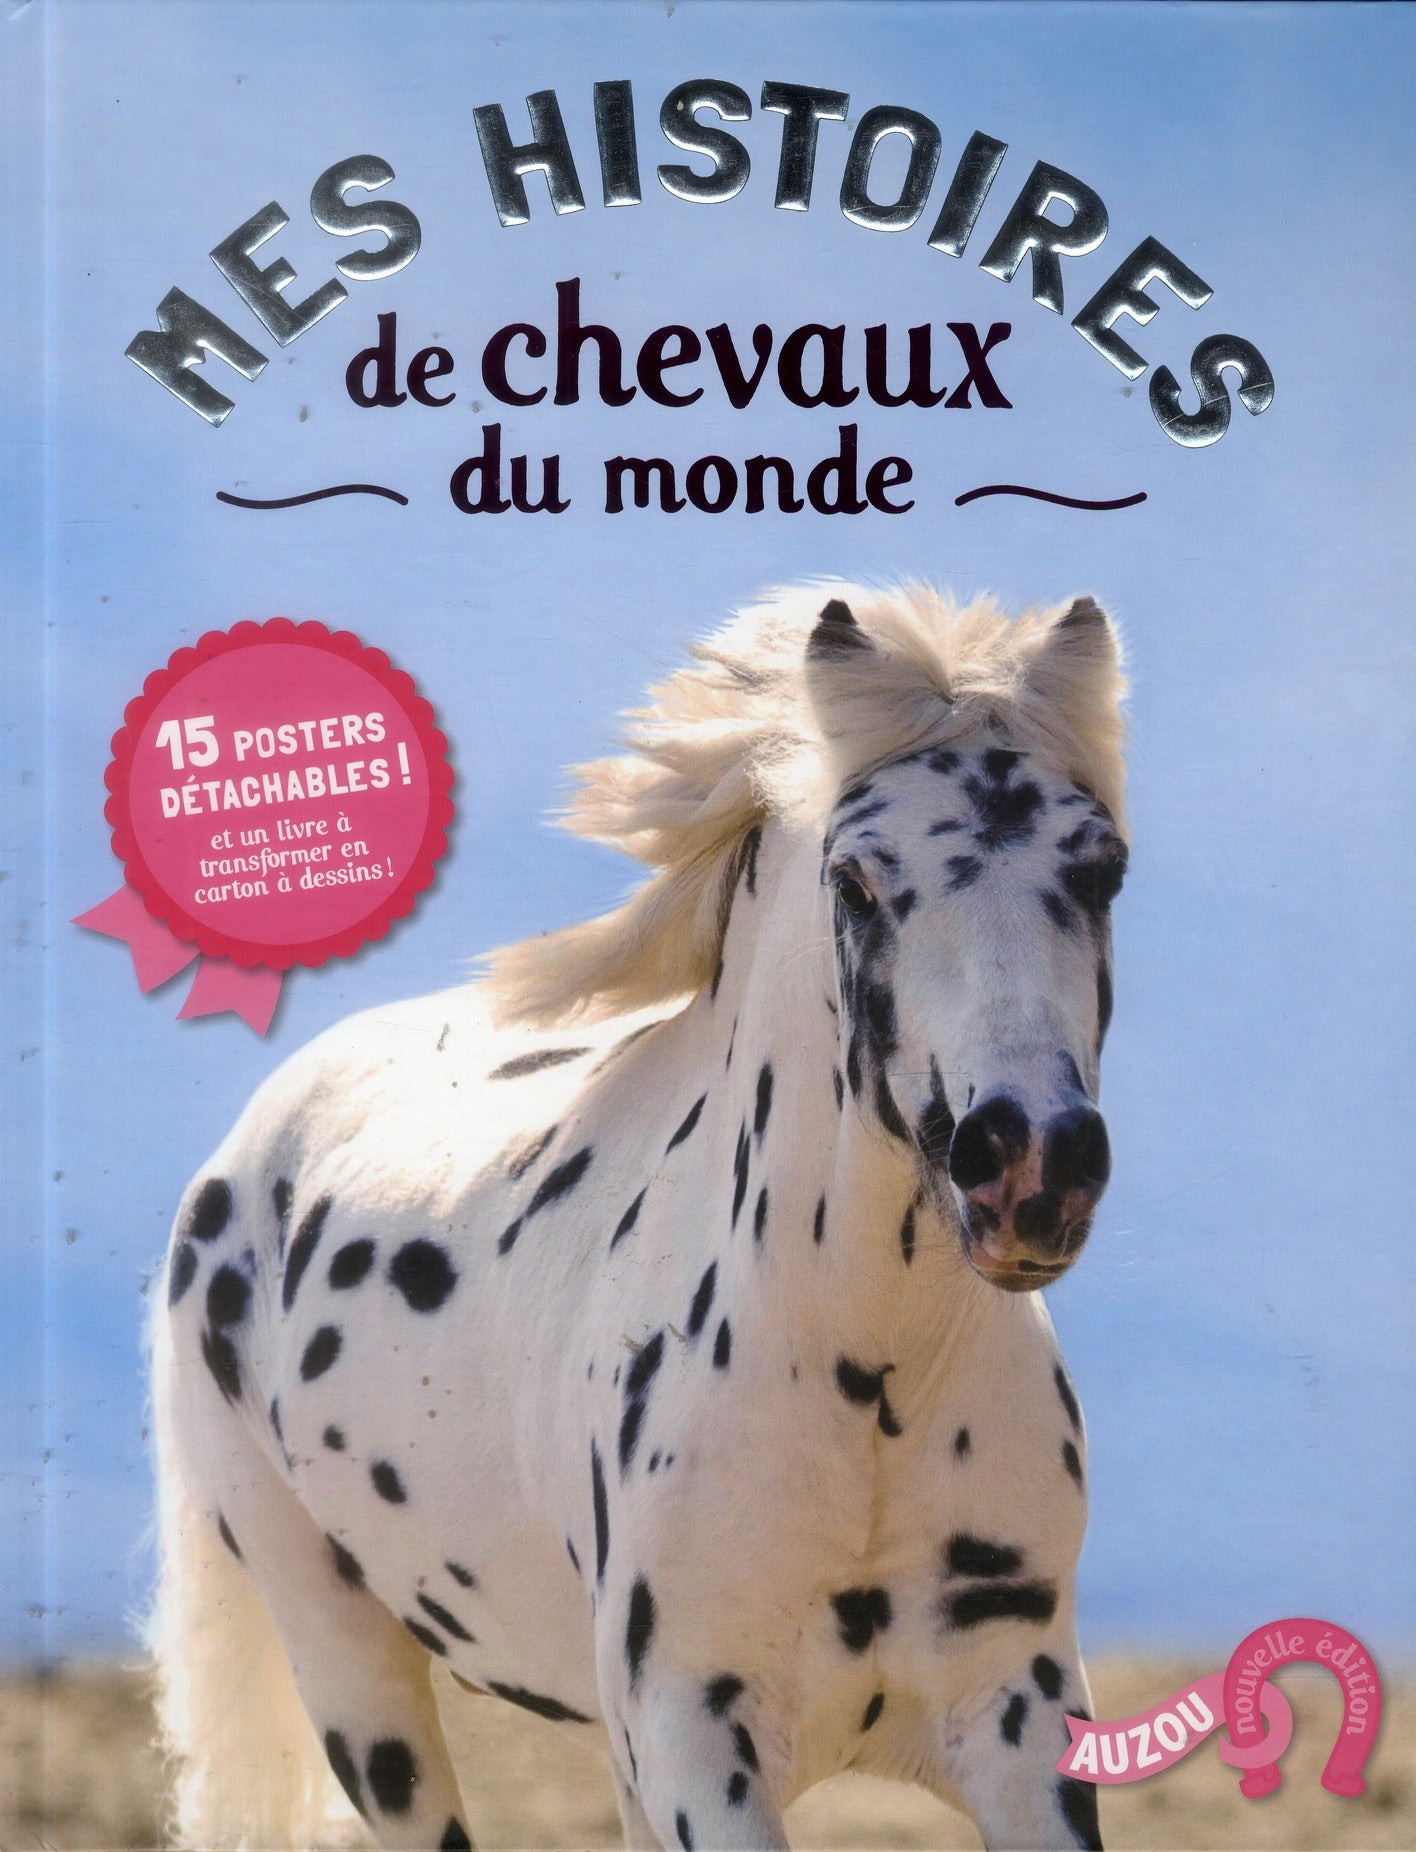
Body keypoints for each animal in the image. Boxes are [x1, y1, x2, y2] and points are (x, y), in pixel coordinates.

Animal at [151, 582, 1129, 1851]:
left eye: (1102, 868)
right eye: (858, 882)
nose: (1031, 1164)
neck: (867, 1380)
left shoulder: (1021, 1715)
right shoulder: (689, 1739)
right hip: (350, 1669)